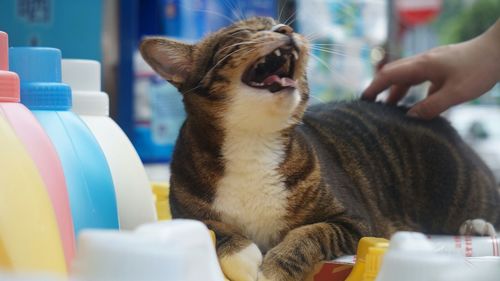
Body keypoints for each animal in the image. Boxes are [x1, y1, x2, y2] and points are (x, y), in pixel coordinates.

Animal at [141, 17, 500, 280]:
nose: (286, 30)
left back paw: (477, 226)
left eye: (278, 24)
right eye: (244, 32)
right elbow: (217, 232)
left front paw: (273, 269)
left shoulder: (355, 221)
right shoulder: (187, 215)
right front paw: (245, 259)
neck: (253, 140)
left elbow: (308, 234)